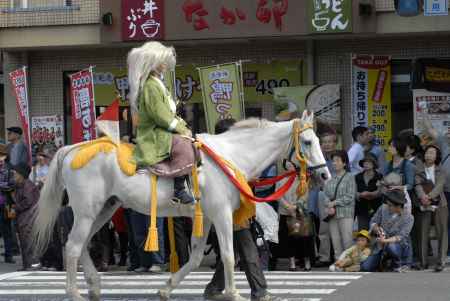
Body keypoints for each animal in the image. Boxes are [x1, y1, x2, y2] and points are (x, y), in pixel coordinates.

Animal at [30, 110, 326, 300]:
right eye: (308, 142)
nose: (325, 175)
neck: (231, 155)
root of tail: (72, 149)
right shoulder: (221, 215)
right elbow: (229, 255)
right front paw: (233, 293)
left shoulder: (207, 217)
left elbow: (195, 258)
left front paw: (167, 288)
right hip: (87, 211)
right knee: (73, 247)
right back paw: (74, 292)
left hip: (105, 209)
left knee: (83, 246)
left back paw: (93, 286)